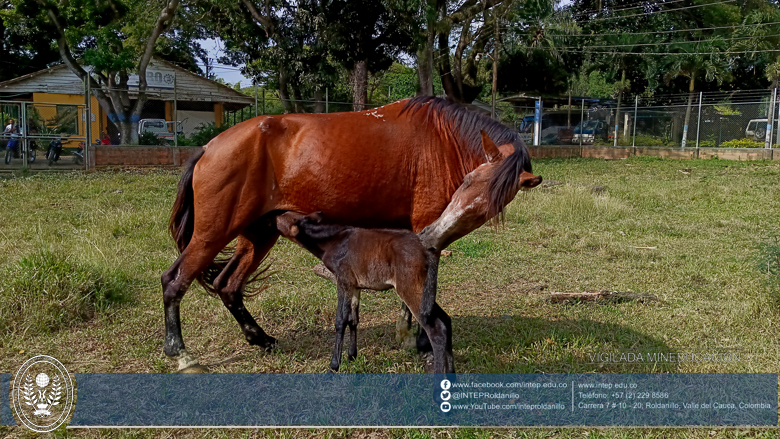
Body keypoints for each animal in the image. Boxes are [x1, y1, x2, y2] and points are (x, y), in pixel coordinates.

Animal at [278, 211, 454, 372]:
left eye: (280, 218)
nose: (273, 215)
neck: (332, 241)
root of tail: (428, 252)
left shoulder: (343, 281)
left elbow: (341, 320)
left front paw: (334, 365)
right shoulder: (355, 286)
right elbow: (353, 319)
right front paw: (351, 356)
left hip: (410, 287)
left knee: (436, 328)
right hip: (424, 290)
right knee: (445, 319)